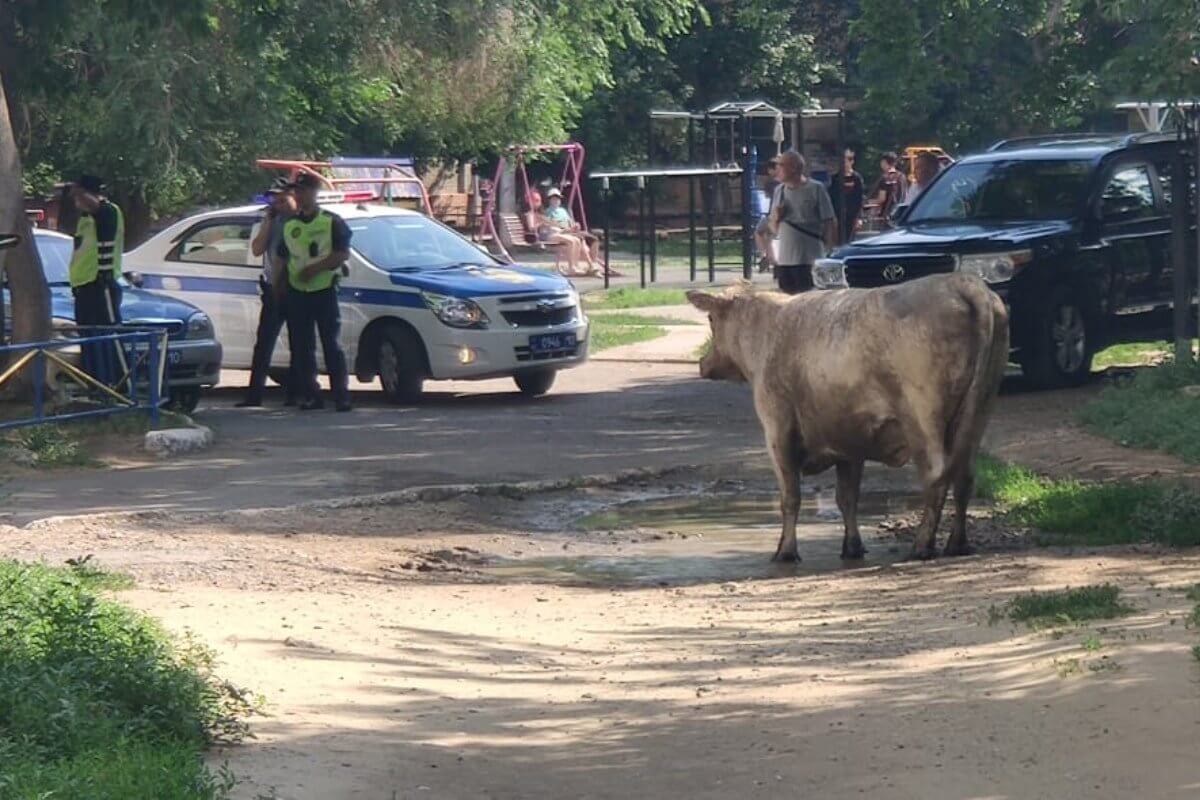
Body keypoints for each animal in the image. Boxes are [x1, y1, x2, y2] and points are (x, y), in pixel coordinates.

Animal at [691, 275, 1008, 563]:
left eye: (710, 319)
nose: (703, 364)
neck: (767, 331)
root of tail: (964, 283)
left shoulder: (777, 430)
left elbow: (791, 497)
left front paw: (786, 551)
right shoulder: (849, 439)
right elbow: (847, 498)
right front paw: (852, 547)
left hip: (923, 418)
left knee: (937, 476)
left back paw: (921, 546)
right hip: (978, 412)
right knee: (964, 477)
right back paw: (957, 544)